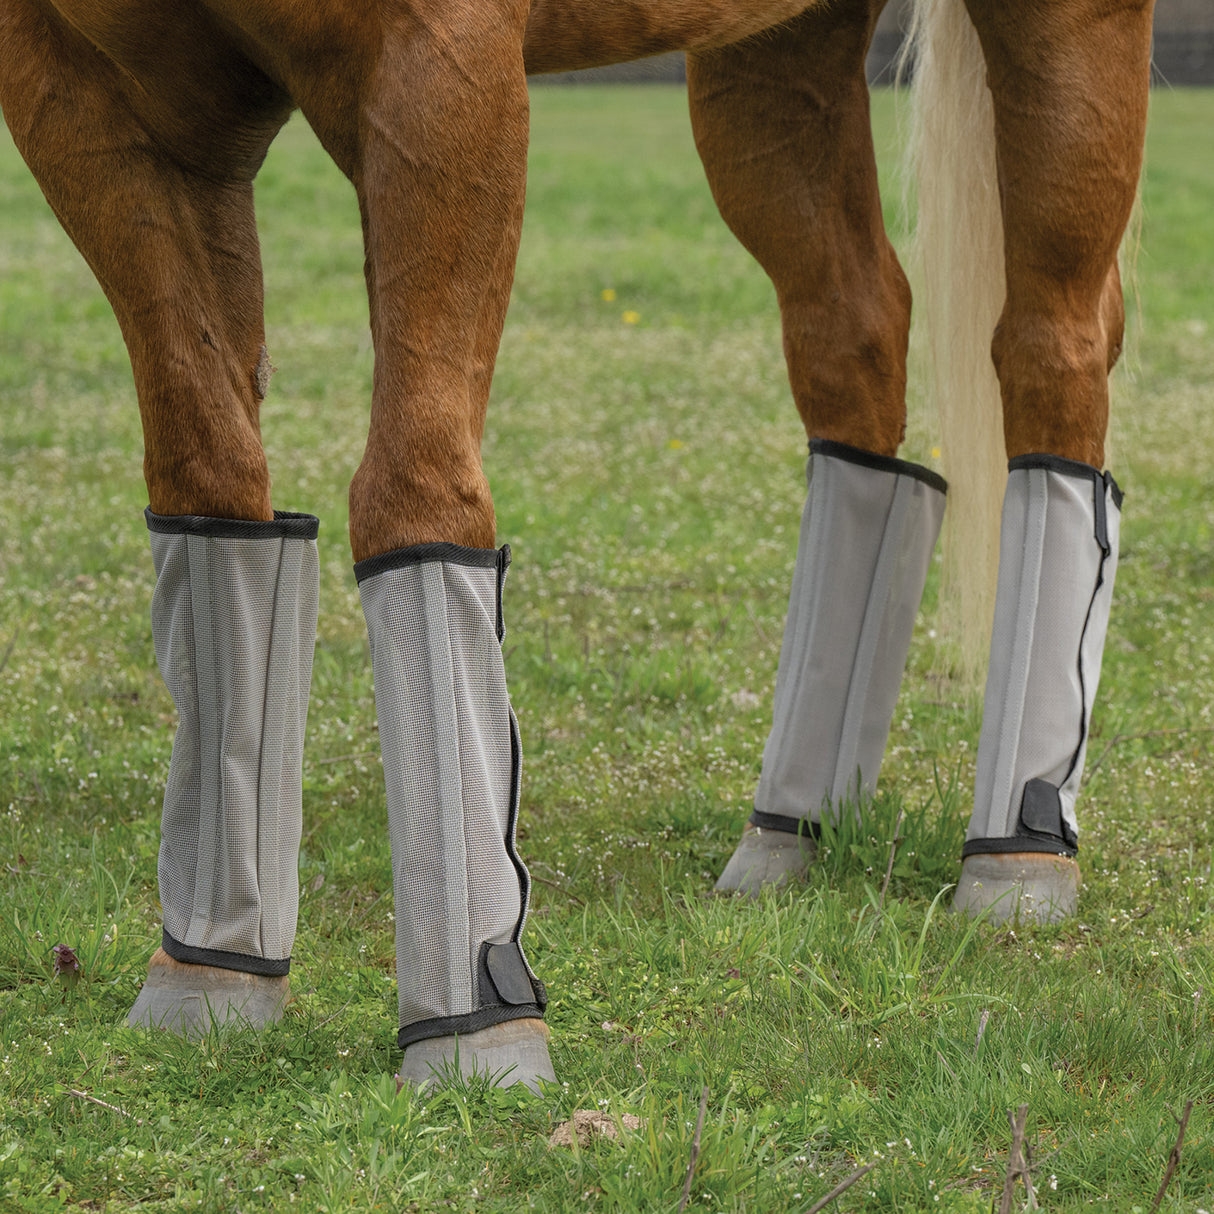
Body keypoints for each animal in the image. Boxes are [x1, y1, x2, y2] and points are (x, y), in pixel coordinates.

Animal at [0, 0, 1156, 1093]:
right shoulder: (93, 107)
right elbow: (208, 478)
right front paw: (210, 972)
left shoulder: (438, 73)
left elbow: (413, 482)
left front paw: (472, 1031)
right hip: (773, 62)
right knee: (859, 340)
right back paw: (793, 825)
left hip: (1064, 41)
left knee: (1055, 348)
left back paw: (1017, 850)